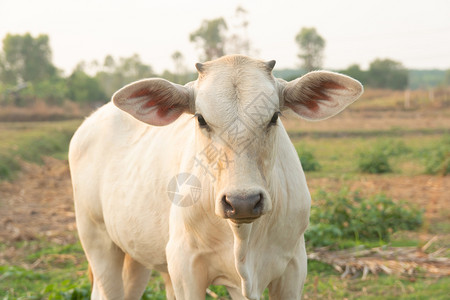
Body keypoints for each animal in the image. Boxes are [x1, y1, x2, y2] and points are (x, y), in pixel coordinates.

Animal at [69, 55, 362, 298]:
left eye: (274, 117)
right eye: (201, 119)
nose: (243, 202)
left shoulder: (293, 266)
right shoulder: (186, 267)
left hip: (137, 255)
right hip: (97, 239)